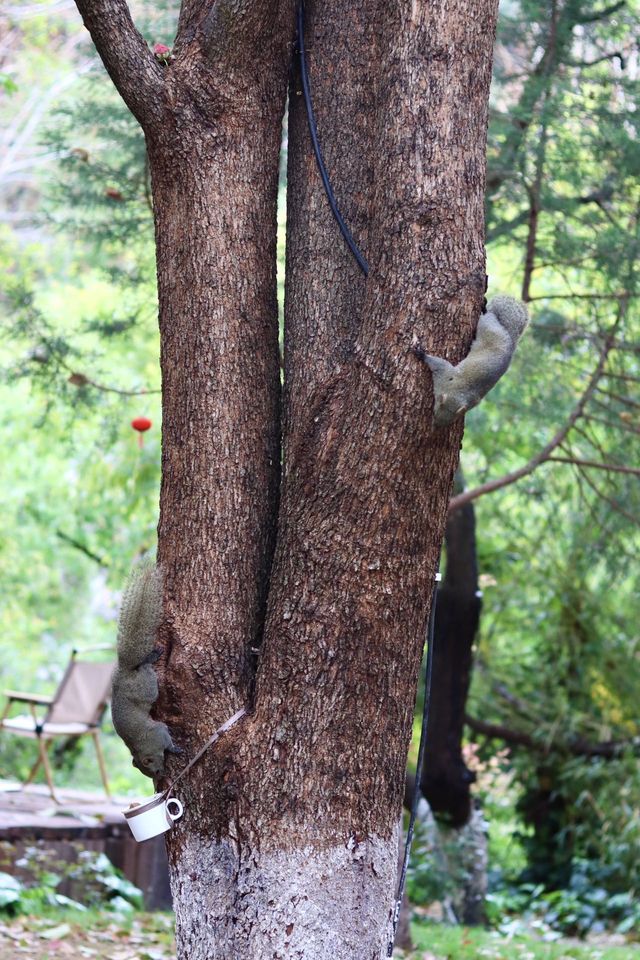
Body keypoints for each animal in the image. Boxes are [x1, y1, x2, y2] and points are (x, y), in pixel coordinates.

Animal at [110, 564, 179, 780]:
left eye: (154, 769)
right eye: (150, 774)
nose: (161, 776)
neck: (140, 748)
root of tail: (127, 670)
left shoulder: (159, 734)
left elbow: (166, 737)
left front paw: (174, 749)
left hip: (148, 687)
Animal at [416, 292, 528, 428]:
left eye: (449, 420)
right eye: (435, 412)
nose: (435, 426)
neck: (457, 391)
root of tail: (510, 340)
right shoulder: (446, 376)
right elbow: (439, 364)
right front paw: (421, 354)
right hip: (487, 325)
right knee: (486, 316)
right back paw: (484, 308)